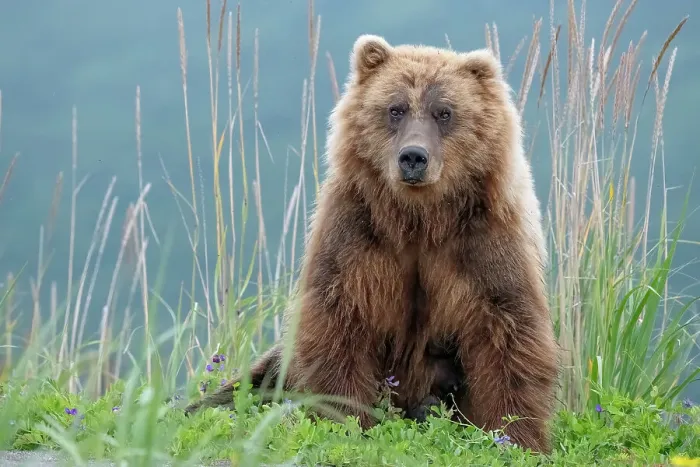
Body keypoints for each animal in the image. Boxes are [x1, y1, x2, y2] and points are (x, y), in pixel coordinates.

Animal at [184, 34, 559, 454]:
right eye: (395, 108)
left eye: (444, 112)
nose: (413, 157)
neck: (420, 218)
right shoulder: (357, 234)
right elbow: (339, 319)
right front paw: (345, 420)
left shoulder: (484, 243)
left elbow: (508, 329)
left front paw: (516, 436)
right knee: (252, 383)